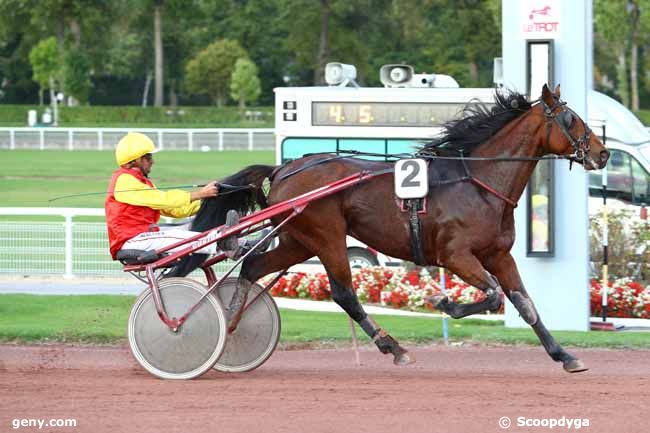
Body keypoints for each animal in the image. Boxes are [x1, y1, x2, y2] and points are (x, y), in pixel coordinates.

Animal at [167, 84, 608, 372]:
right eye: (570, 118)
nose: (602, 153)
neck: (477, 182)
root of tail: (283, 168)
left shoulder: (498, 254)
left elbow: (525, 304)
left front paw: (565, 355)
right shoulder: (456, 255)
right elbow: (494, 296)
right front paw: (445, 302)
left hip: (298, 239)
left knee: (253, 267)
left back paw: (231, 326)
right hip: (327, 235)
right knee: (344, 293)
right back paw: (392, 347)